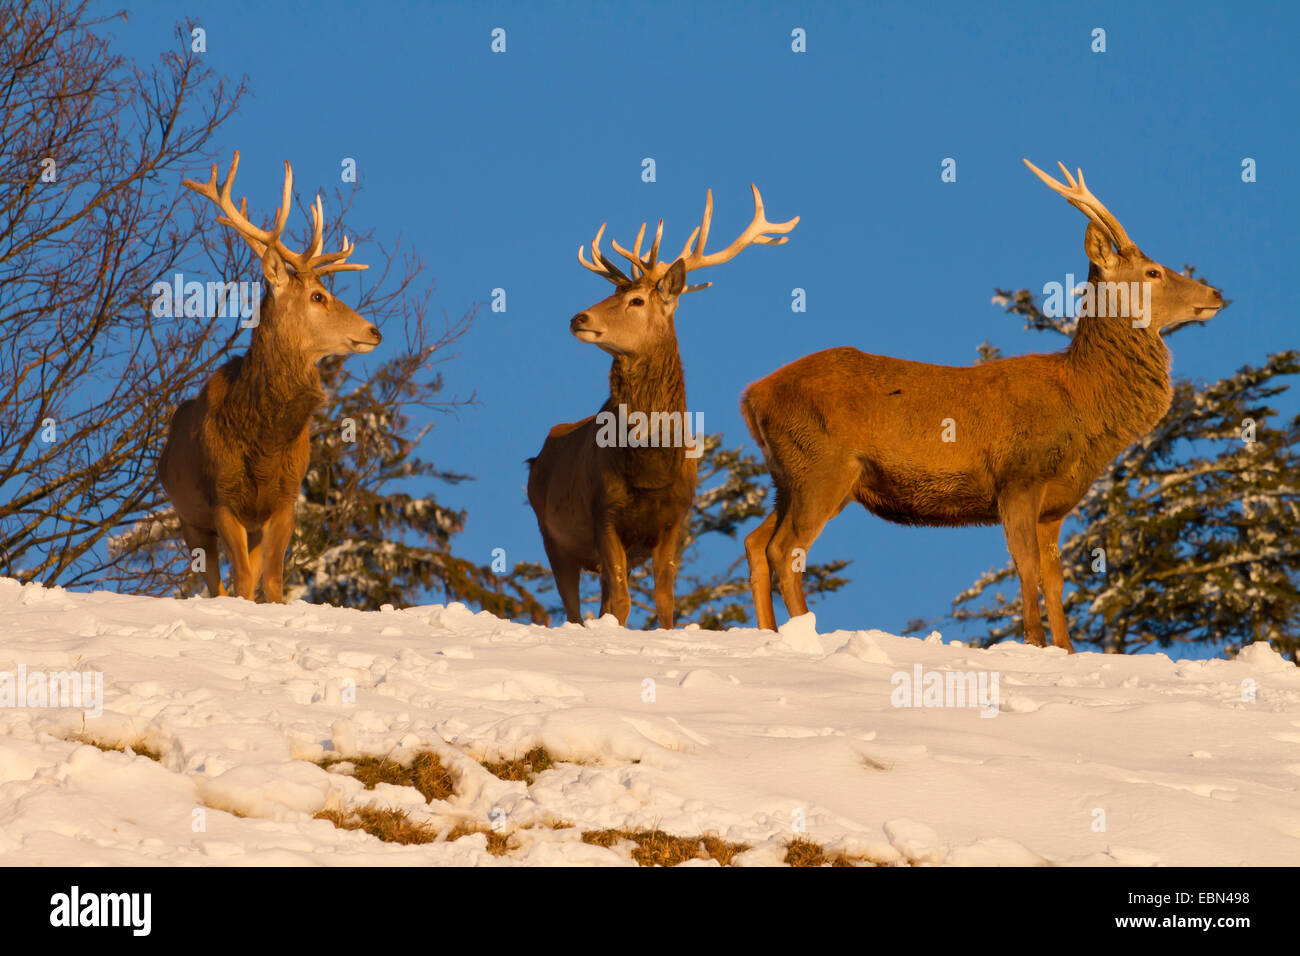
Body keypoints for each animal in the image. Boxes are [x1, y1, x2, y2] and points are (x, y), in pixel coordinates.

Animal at [157, 150, 379, 600]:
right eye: (318, 296)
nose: (373, 331)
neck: (264, 445)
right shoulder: (222, 498)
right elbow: (242, 581)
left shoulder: (284, 499)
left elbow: (273, 579)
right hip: (189, 518)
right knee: (216, 583)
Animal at [525, 191, 790, 632]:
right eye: (612, 292)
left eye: (635, 299)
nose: (578, 317)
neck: (650, 466)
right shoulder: (603, 513)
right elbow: (622, 601)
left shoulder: (674, 519)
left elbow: (665, 601)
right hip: (552, 535)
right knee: (575, 609)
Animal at [748, 162, 1222, 650]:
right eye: (1152, 271)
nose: (1216, 294)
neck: (1081, 403)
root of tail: (752, 395)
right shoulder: (1018, 477)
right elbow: (1027, 567)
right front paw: (1034, 642)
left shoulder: (1056, 505)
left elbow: (1055, 578)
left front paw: (1066, 648)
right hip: (822, 466)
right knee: (784, 549)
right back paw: (805, 635)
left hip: (793, 476)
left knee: (755, 542)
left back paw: (767, 632)